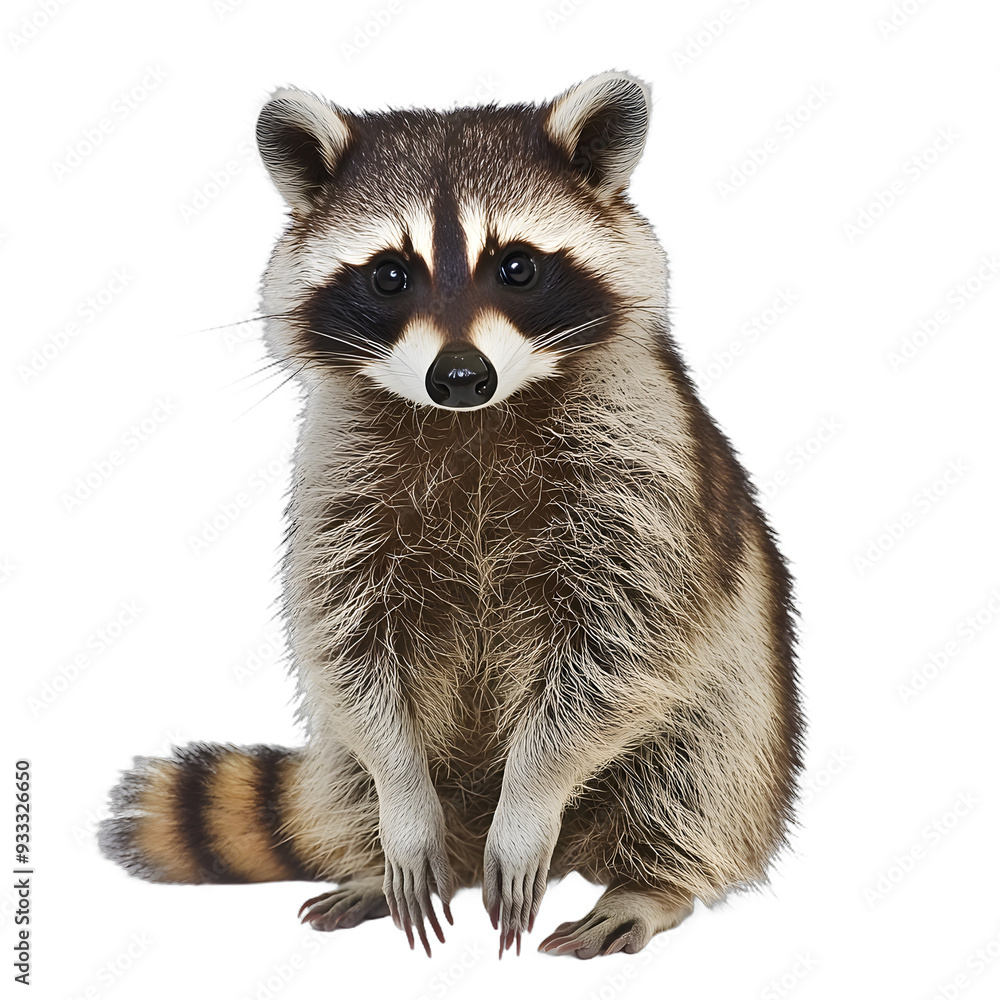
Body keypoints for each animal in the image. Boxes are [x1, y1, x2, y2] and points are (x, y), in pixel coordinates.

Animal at [99, 71, 803, 960]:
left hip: (746, 700)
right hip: (371, 772)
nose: (460, 376)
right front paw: (401, 807)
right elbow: (348, 647)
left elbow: (617, 651)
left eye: (517, 266)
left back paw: (648, 881)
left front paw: (532, 797)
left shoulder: (640, 467)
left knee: (695, 769)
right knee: (357, 768)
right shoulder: (340, 474)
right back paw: (383, 857)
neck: (470, 421)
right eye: (390, 276)